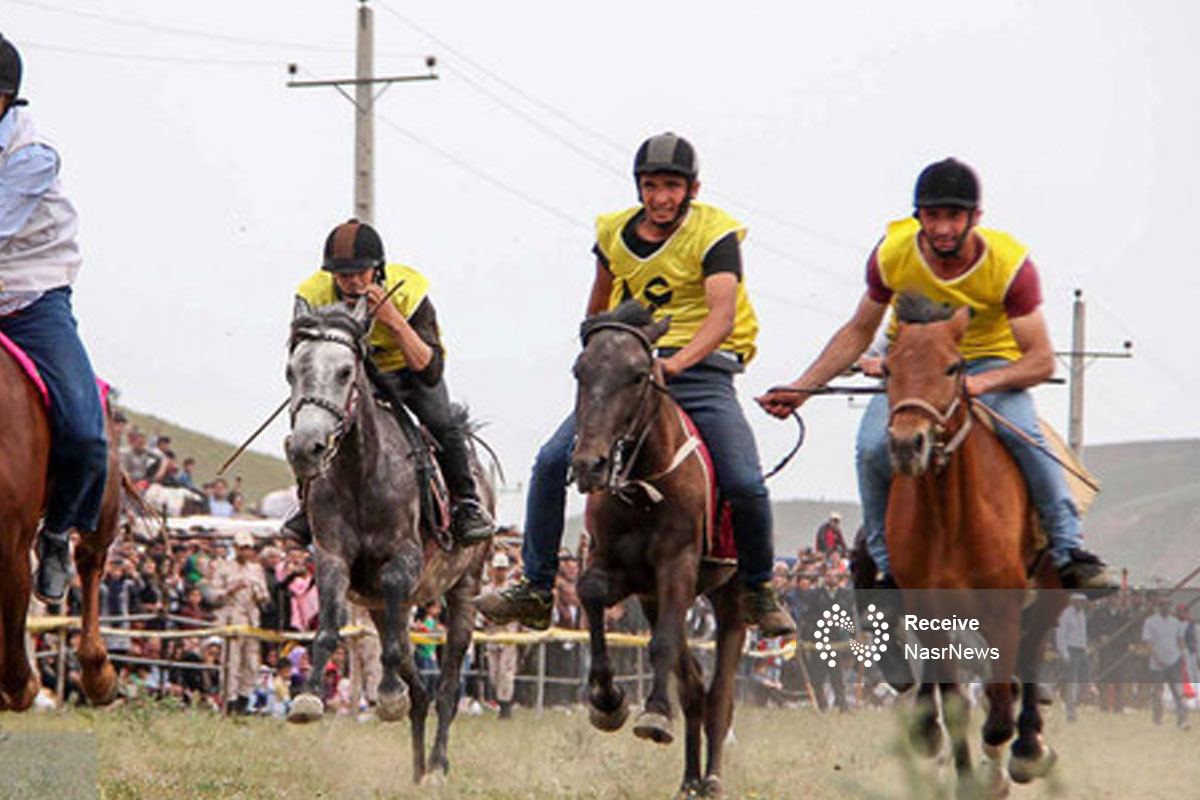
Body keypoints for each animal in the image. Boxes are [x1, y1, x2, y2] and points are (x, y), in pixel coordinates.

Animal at [283, 298, 489, 782]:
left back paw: (436, 767)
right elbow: (329, 625)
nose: (305, 448)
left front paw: (388, 696)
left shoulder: (404, 559)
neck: (361, 470)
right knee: (421, 691)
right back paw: (415, 765)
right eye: (291, 371)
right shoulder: (332, 557)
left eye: (345, 371)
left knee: (447, 687)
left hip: (465, 589)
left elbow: (395, 617)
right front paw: (309, 697)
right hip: (378, 607)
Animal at [568, 302, 744, 800]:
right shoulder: (620, 572)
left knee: (719, 696)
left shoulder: (677, 567)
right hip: (653, 600)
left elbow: (661, 644)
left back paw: (713, 780)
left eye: (637, 375)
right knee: (695, 688)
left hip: (730, 599)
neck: (645, 486)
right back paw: (689, 781)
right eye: (580, 371)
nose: (589, 464)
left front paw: (654, 713)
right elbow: (590, 594)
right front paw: (608, 701)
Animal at [883, 296, 1070, 800]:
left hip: (1049, 595)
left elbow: (999, 711)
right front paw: (968, 775)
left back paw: (1028, 750)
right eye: (887, 368)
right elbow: (956, 707)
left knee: (1029, 658)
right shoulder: (932, 614)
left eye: (953, 367)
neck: (951, 519)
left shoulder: (1003, 610)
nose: (907, 443)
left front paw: (998, 770)